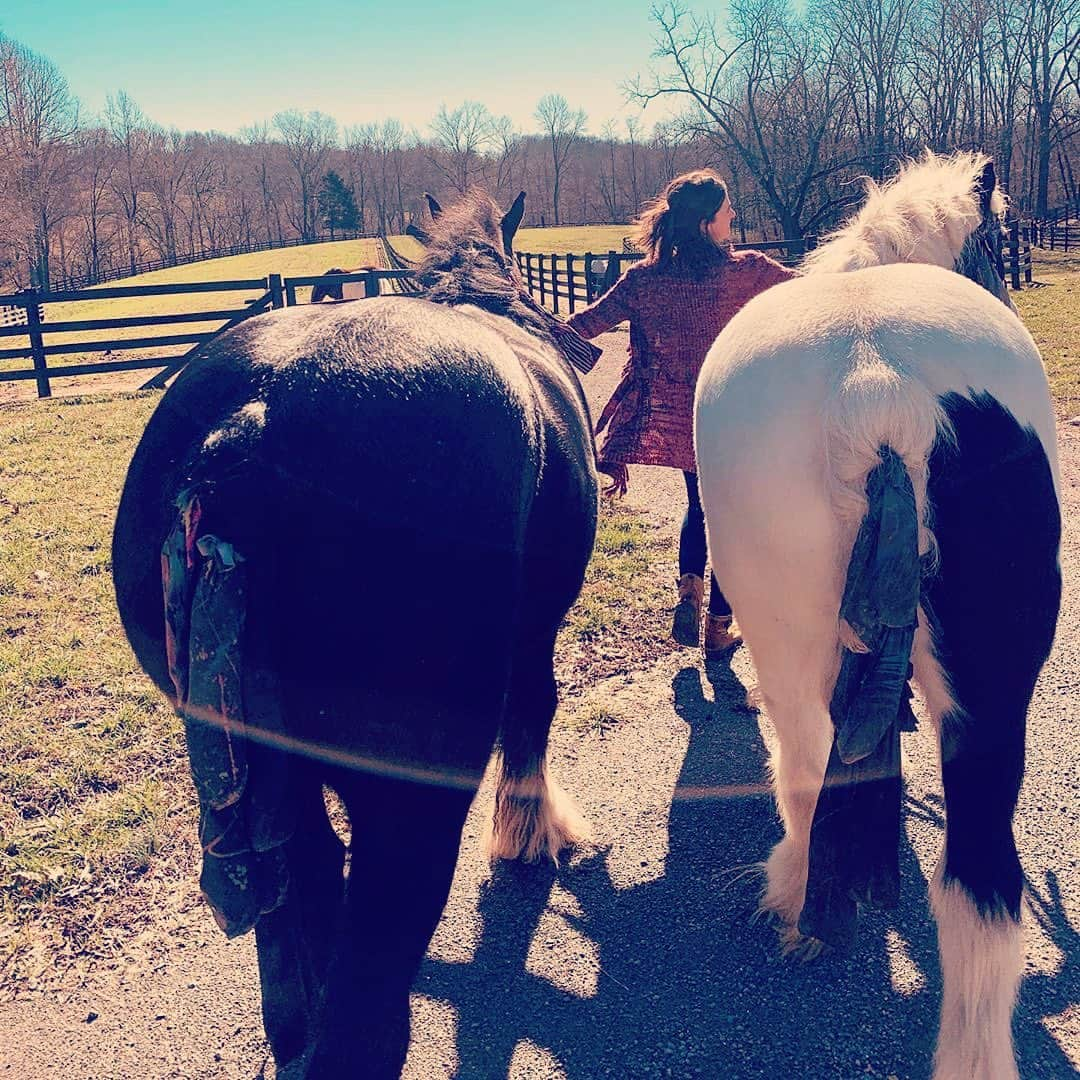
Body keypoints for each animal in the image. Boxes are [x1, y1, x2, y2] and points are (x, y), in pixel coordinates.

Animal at [111, 190, 600, 1075]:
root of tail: (255, 416)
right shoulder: (536, 633)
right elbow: (535, 711)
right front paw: (529, 833)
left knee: (304, 919)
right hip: (410, 799)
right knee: (364, 1014)